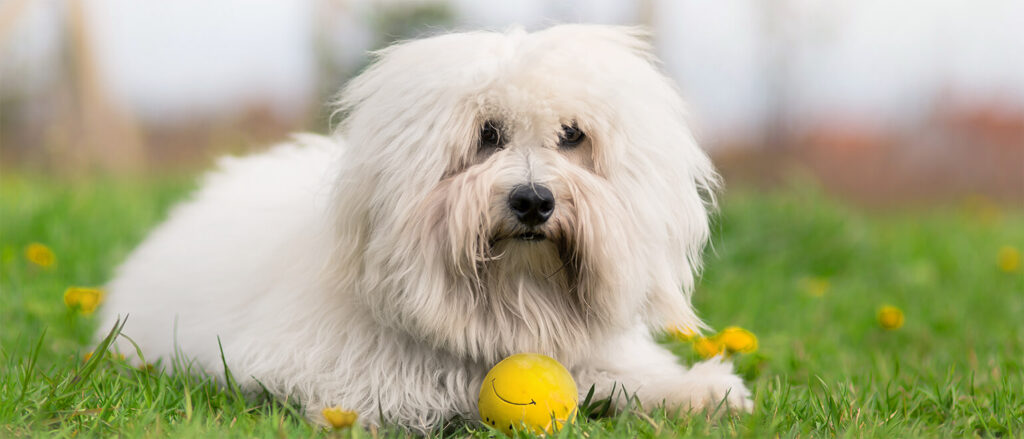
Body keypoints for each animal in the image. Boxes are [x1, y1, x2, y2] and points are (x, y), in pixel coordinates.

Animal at [97, 24, 753, 431]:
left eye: (573, 135)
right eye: (487, 133)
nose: (534, 201)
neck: (513, 299)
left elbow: (623, 376)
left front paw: (700, 393)